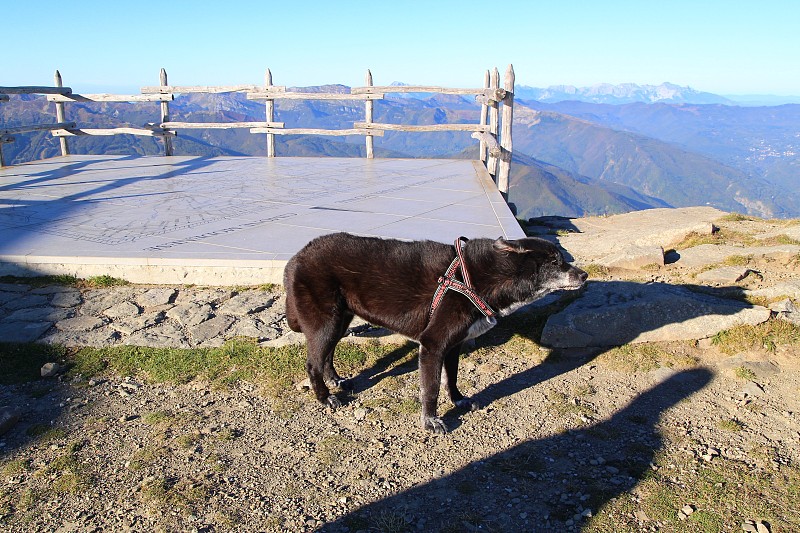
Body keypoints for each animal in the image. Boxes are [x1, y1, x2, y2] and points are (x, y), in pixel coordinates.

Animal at [282, 233, 588, 432]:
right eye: (555, 262)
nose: (584, 275)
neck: (476, 278)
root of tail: (296, 257)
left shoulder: (453, 346)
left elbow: (451, 379)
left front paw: (459, 400)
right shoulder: (432, 345)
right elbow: (430, 389)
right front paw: (430, 420)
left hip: (340, 320)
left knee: (327, 354)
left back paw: (335, 380)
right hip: (327, 323)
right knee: (312, 363)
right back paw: (324, 397)